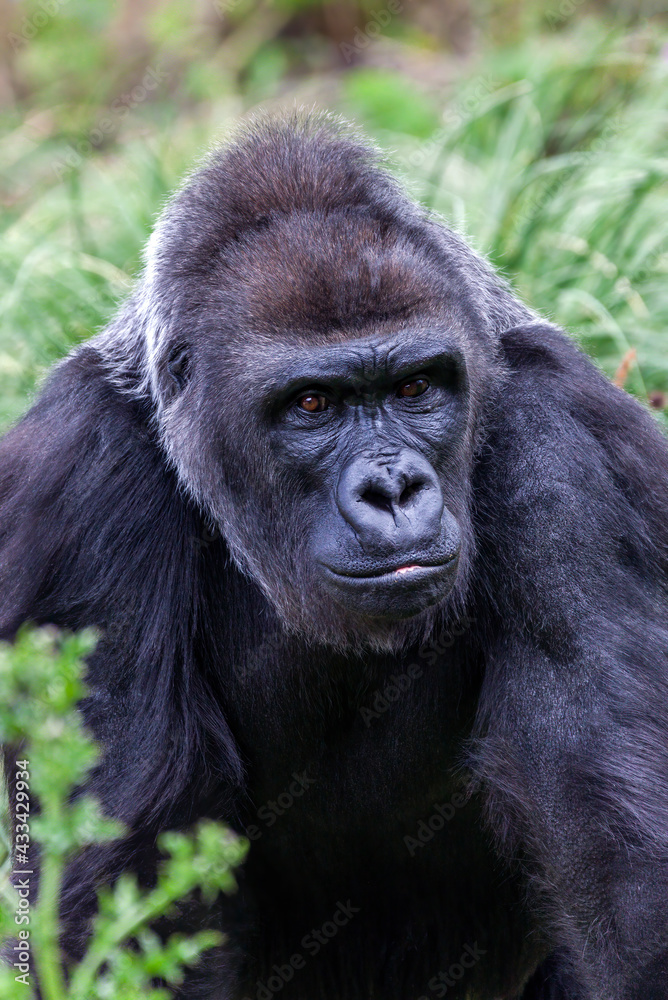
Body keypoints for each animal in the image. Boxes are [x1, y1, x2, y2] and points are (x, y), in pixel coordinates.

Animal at [1, 115, 668, 1000]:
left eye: (417, 388)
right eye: (312, 404)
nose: (393, 489)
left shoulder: (563, 435)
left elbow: (619, 844)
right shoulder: (82, 476)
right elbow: (126, 882)